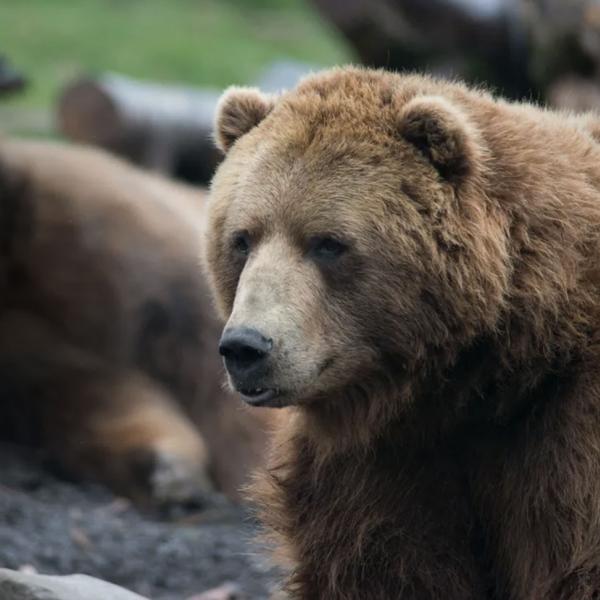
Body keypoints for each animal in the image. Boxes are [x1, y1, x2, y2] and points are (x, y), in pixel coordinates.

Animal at [205, 67, 600, 600]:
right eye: (242, 238)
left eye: (328, 243)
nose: (246, 347)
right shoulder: (387, 464)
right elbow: (386, 566)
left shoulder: (567, 432)